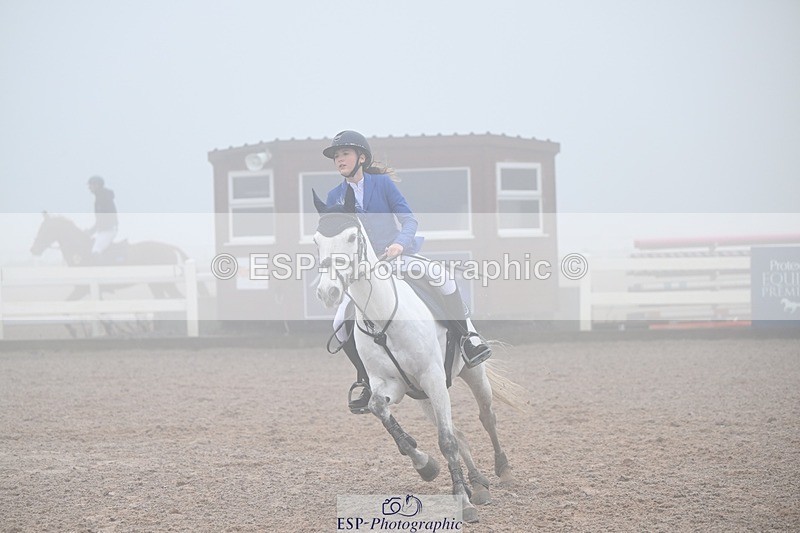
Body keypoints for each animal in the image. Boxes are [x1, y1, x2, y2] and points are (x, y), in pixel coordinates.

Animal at [30, 212, 192, 336]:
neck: (81, 251)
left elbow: (68, 309)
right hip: (157, 285)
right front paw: (110, 330)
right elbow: (101, 312)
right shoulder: (93, 290)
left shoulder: (82, 289)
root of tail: (169, 247)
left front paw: (74, 331)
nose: (33, 249)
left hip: (165, 284)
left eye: (45, 229)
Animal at [312, 190, 523, 523]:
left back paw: (502, 471)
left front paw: (463, 502)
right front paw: (426, 465)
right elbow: (379, 408)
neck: (382, 317)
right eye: (317, 240)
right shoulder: (390, 384)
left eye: (351, 236)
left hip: (469, 374)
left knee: (486, 417)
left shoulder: (433, 377)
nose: (328, 291)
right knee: (457, 430)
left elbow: (446, 440)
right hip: (422, 395)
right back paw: (477, 483)